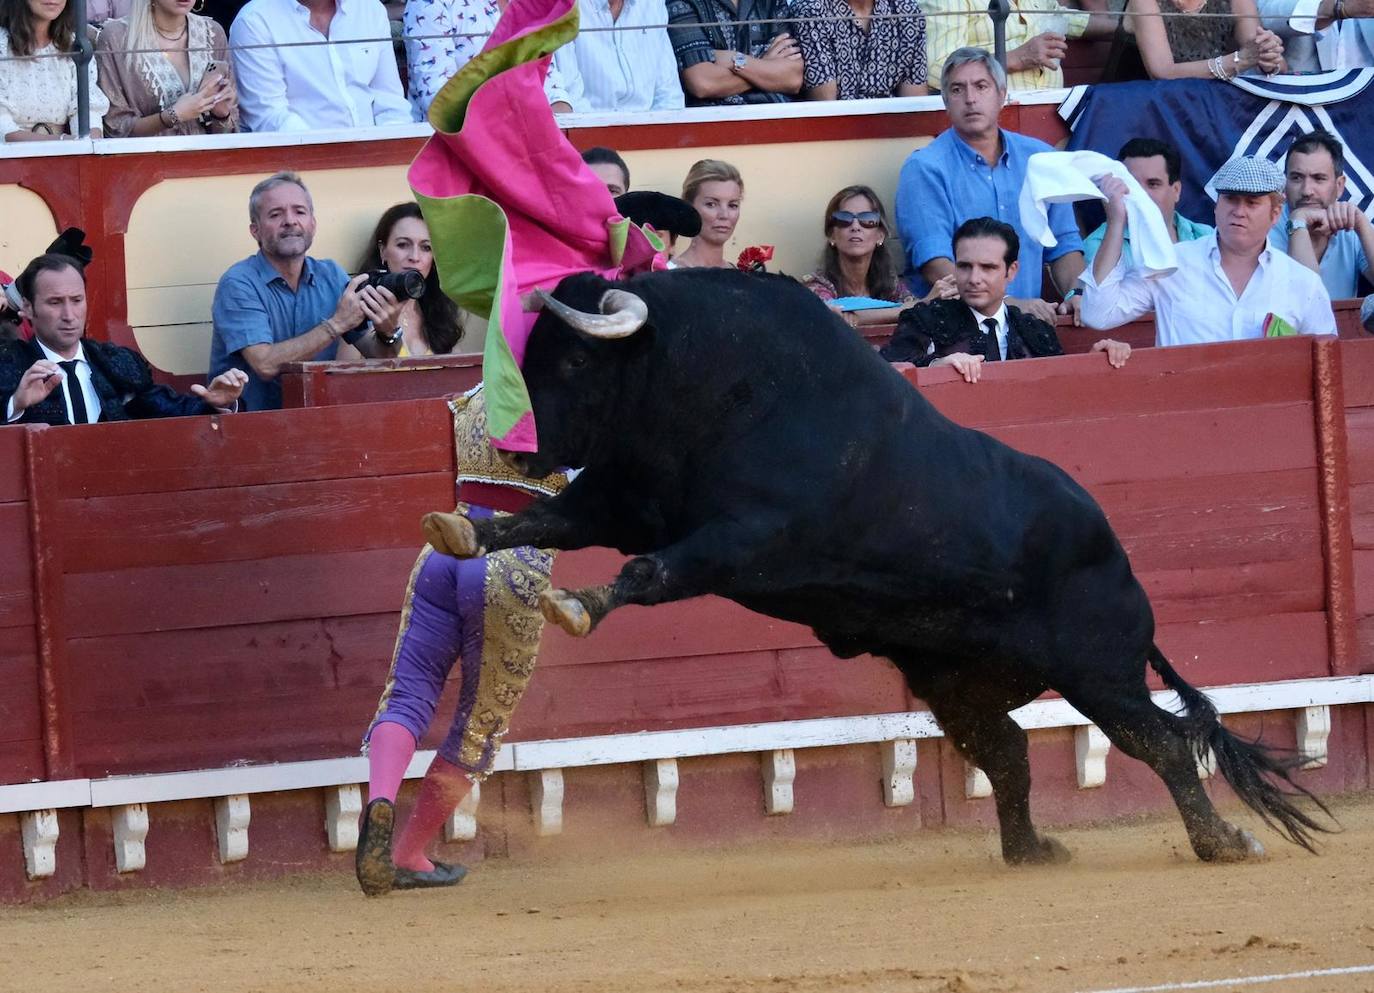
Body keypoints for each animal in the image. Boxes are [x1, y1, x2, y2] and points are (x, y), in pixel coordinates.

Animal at [423, 267, 1324, 868]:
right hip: (957, 679)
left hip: (1100, 669)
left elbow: (649, 573)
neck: (706, 381)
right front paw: (459, 528)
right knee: (1007, 750)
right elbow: (545, 518)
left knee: (1161, 742)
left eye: (574, 362)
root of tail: (1119, 557)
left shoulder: (745, 540)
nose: (513, 447)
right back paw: (1031, 850)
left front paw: (576, 603)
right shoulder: (628, 500)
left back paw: (1221, 840)